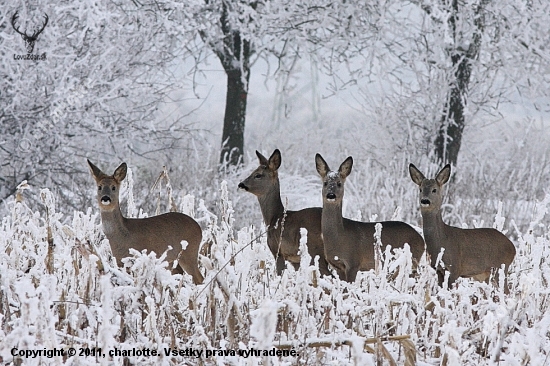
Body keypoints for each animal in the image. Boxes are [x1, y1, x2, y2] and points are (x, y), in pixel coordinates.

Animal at [314, 153, 426, 282]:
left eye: (339, 183)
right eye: (325, 183)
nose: (331, 195)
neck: (339, 236)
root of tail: (421, 239)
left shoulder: (353, 262)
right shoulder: (337, 266)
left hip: (411, 259)